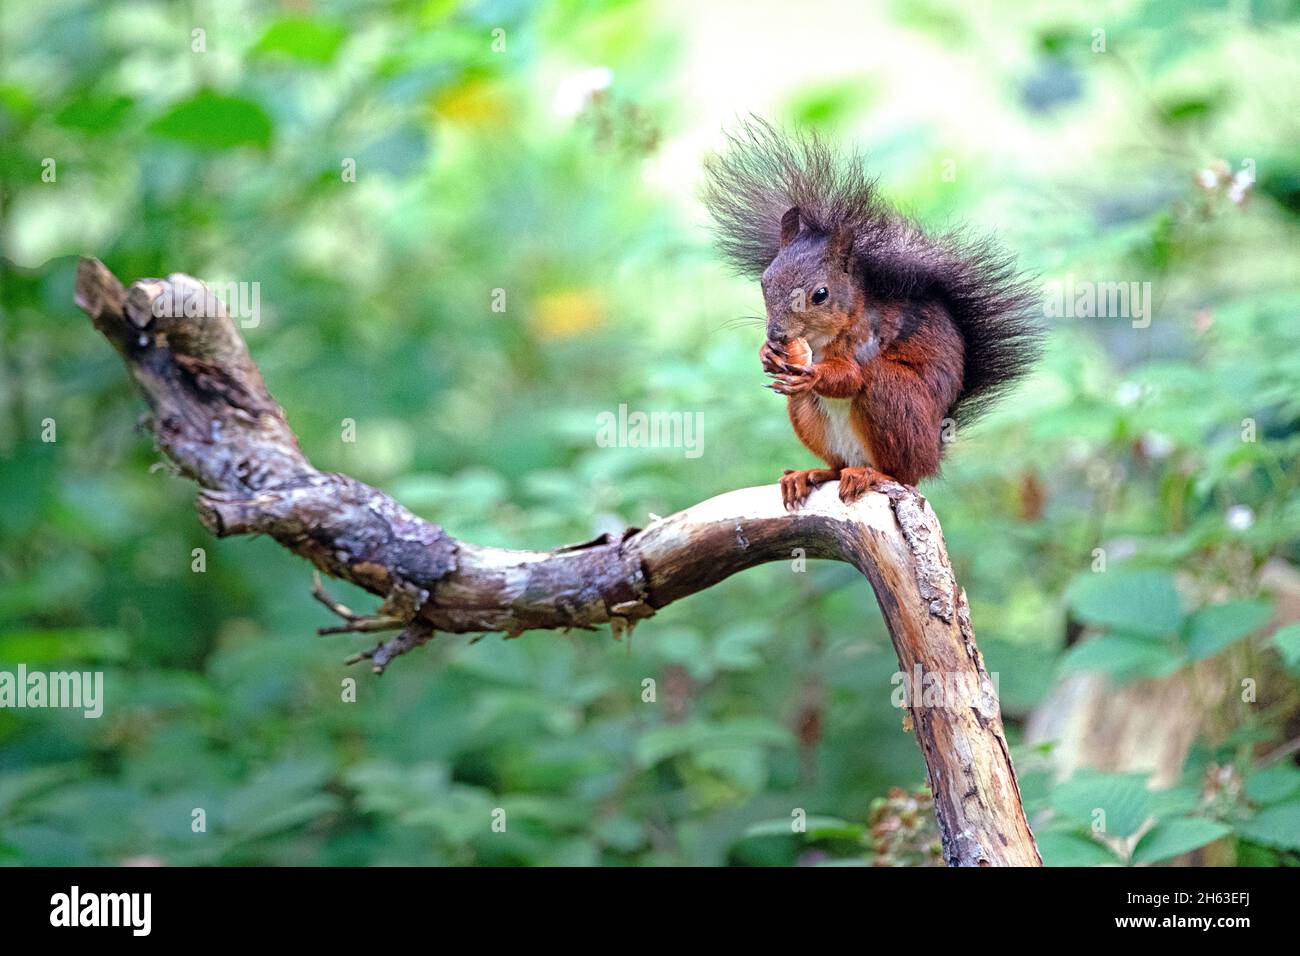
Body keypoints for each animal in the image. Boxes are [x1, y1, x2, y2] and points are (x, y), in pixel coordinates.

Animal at [707, 119, 1040, 509]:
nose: (777, 335)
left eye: (821, 295)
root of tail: (933, 450)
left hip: (893, 398)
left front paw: (814, 375)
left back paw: (872, 474)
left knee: (901, 471)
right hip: (809, 418)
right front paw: (766, 354)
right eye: (764, 280)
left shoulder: (870, 336)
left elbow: (850, 378)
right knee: (836, 466)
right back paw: (810, 473)